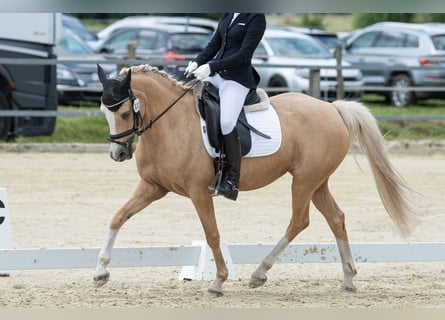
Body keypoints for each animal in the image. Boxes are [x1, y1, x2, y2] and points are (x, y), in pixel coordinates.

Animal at [94, 63, 420, 296]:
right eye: (104, 111)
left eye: (125, 112)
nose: (118, 153)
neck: (171, 125)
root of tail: (332, 108)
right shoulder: (154, 187)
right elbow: (117, 217)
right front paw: (100, 272)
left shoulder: (198, 192)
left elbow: (212, 234)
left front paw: (218, 282)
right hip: (317, 182)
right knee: (336, 218)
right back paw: (348, 279)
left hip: (304, 181)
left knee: (299, 221)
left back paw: (259, 273)